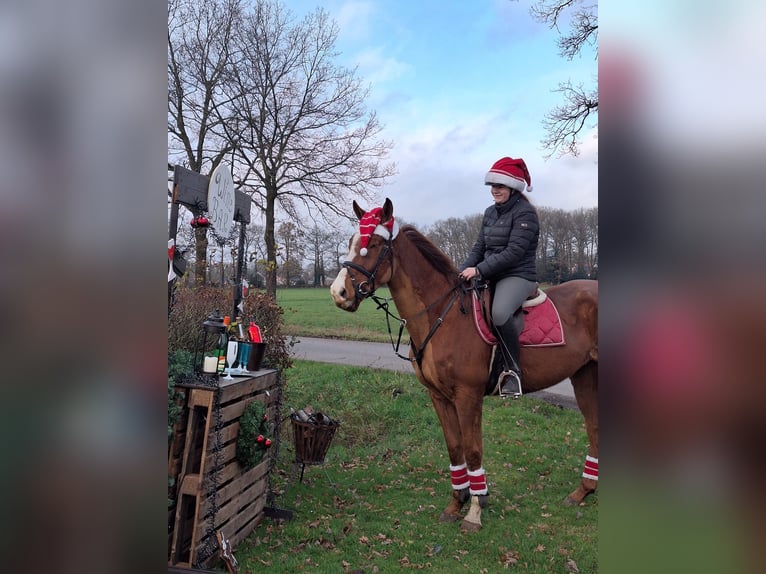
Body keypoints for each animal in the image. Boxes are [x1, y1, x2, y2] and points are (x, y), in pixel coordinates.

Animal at [330, 200, 600, 532]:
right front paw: (456, 502)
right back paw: (583, 490)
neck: (441, 316)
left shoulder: (467, 395)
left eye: (376, 245)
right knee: (594, 425)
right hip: (585, 375)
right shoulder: (439, 396)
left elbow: (472, 450)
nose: (339, 293)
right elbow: (454, 447)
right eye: (351, 242)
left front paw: (474, 510)